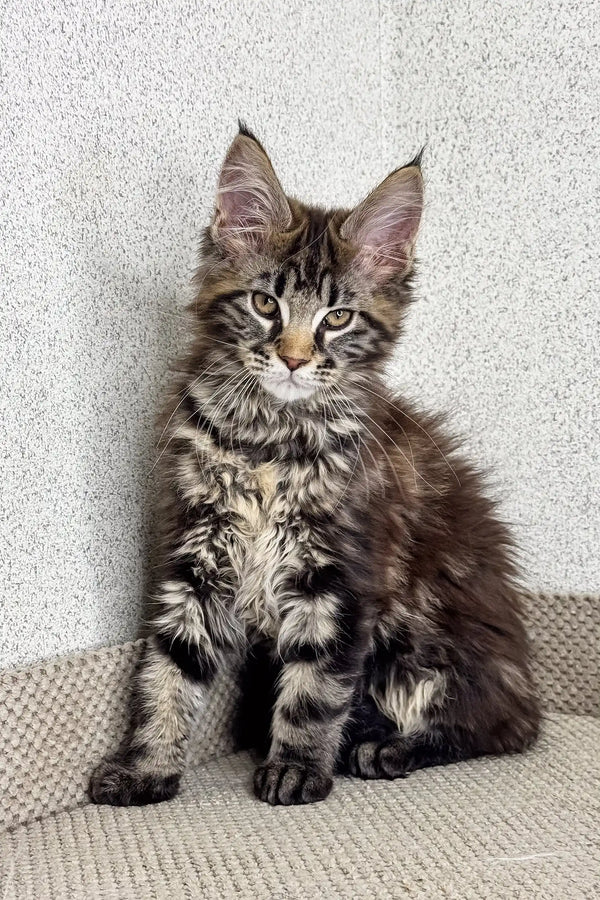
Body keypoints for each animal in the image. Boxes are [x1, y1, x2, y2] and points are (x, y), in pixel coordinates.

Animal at [89, 123, 540, 804]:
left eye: (339, 317)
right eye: (264, 304)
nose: (296, 359)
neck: (269, 440)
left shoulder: (340, 573)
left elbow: (316, 686)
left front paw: (297, 768)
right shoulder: (196, 552)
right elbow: (166, 671)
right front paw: (146, 767)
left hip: (425, 634)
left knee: (496, 726)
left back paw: (386, 748)